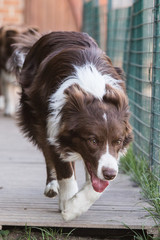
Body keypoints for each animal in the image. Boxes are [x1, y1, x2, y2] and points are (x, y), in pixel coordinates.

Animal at [9, 31, 133, 221]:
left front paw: (76, 204)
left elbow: (98, 183)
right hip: (34, 114)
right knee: (47, 152)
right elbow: (65, 169)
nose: (110, 175)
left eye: (118, 141)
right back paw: (52, 186)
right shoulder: (53, 125)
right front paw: (69, 206)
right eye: (93, 140)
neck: (93, 91)